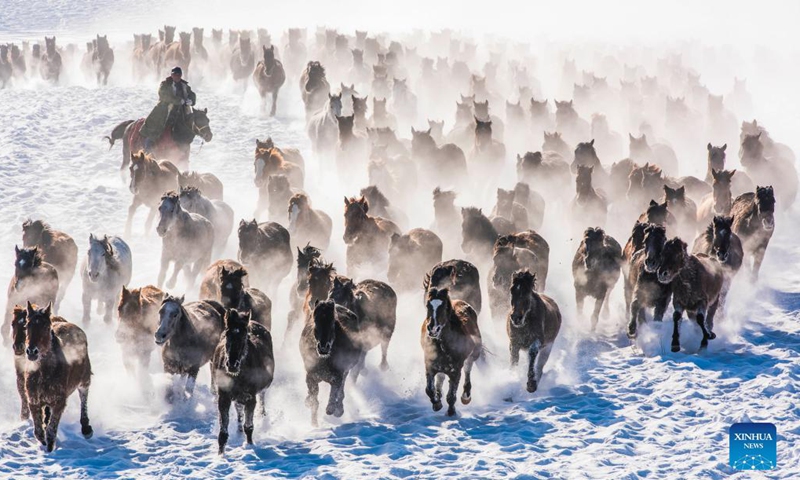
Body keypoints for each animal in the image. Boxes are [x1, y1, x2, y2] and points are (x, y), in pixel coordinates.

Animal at [20, 302, 93, 452]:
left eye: (46, 327)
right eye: (27, 325)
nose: (32, 352)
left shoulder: (59, 402)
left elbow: (51, 431)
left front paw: (50, 448)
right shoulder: (34, 400)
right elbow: (39, 431)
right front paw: (43, 443)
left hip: (85, 379)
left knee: (84, 396)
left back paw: (86, 428)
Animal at [212, 309, 274, 454]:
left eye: (244, 337)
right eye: (227, 334)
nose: (232, 365)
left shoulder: (250, 398)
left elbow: (249, 427)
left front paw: (250, 446)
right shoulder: (223, 397)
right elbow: (223, 432)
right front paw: (220, 454)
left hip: (260, 391)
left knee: (262, 399)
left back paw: (263, 415)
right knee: (239, 410)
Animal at [421, 287, 482, 416]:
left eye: (444, 307)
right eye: (428, 305)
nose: (432, 329)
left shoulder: (455, 371)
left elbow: (451, 396)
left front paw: (451, 412)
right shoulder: (430, 366)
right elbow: (429, 390)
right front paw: (437, 404)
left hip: (473, 355)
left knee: (467, 370)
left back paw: (466, 397)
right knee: (441, 377)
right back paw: (439, 395)